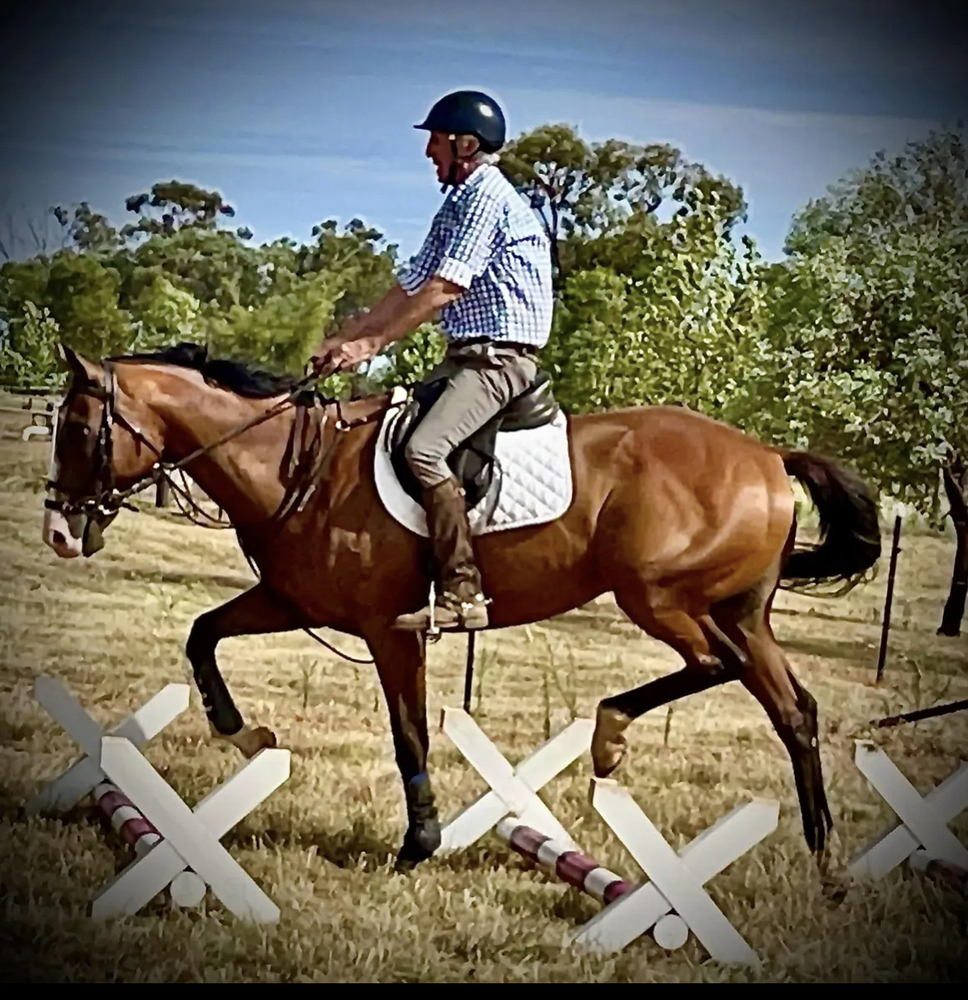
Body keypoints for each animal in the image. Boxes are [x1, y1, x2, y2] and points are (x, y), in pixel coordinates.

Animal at [41, 342, 882, 888]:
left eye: (78, 429)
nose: (58, 531)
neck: (298, 466)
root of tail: (768, 456)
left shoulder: (389, 632)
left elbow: (408, 732)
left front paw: (418, 843)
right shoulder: (287, 599)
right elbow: (203, 633)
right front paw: (243, 732)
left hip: (660, 597)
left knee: (713, 667)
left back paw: (609, 736)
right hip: (740, 612)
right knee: (793, 711)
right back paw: (823, 857)